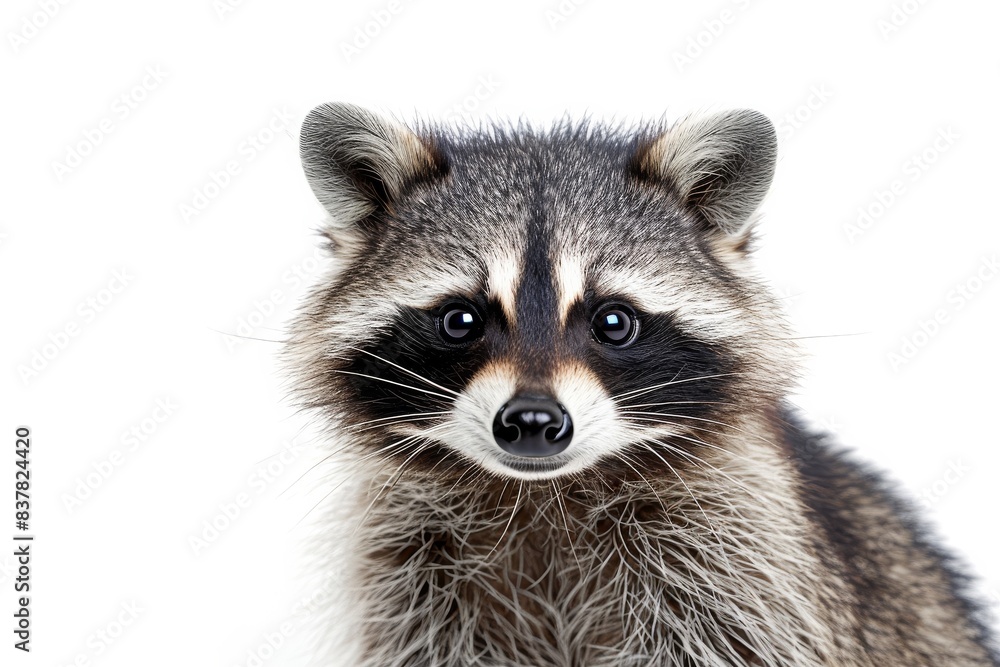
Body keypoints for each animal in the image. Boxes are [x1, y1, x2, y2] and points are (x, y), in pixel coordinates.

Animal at [286, 103, 998, 666]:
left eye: (613, 321)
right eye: (461, 320)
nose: (533, 423)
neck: (542, 495)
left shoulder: (744, 563)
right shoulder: (408, 573)